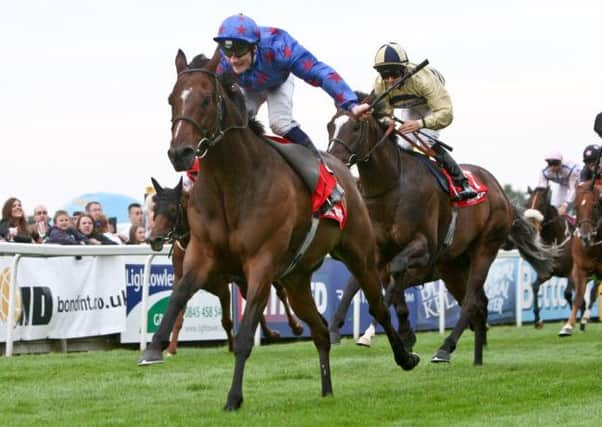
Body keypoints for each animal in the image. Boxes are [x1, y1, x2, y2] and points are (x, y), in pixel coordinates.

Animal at [147, 176, 302, 356]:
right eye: (154, 208)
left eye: (172, 209)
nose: (153, 239)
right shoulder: (183, 281)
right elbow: (178, 314)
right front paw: (171, 349)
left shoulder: (221, 286)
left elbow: (227, 320)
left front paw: (232, 346)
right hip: (243, 280)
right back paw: (270, 333)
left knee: (281, 293)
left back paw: (295, 326)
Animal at [326, 100, 556, 364]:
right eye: (330, 126)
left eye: (355, 127)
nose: (333, 160)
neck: (391, 186)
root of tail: (501, 193)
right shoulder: (379, 251)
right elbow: (377, 286)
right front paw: (402, 333)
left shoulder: (423, 247)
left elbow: (391, 276)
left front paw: (373, 332)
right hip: (453, 266)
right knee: (479, 303)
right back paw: (477, 358)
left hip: (485, 248)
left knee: (471, 301)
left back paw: (445, 348)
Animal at [556, 181, 600, 338]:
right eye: (575, 206)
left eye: (595, 205)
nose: (585, 236)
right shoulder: (580, 269)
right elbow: (578, 297)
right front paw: (568, 326)